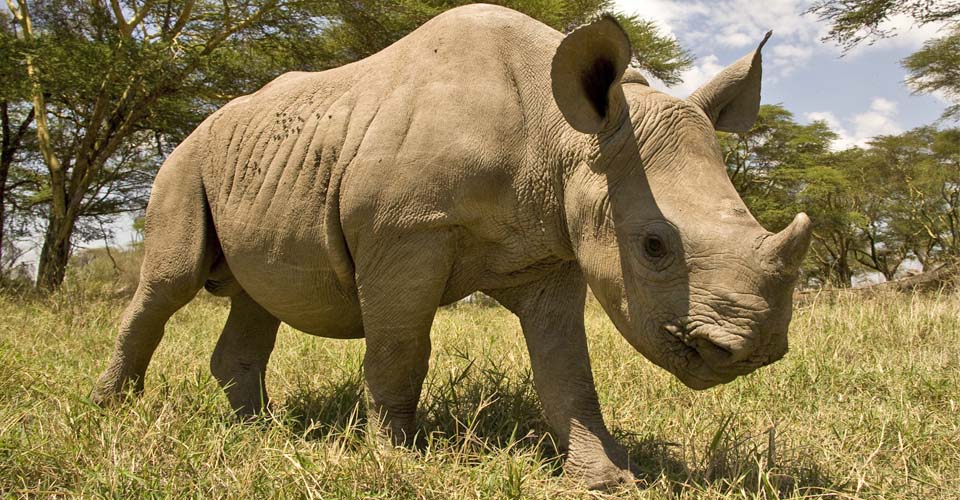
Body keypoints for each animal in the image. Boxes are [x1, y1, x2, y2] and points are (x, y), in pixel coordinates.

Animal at [92, 4, 812, 488]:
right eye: (655, 247)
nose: (753, 351)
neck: (564, 138)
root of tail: (207, 120)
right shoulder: (405, 230)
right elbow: (399, 354)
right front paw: (394, 460)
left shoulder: (553, 248)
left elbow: (568, 372)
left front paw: (606, 479)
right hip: (185, 161)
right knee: (170, 282)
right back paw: (113, 411)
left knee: (258, 295)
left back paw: (258, 430)